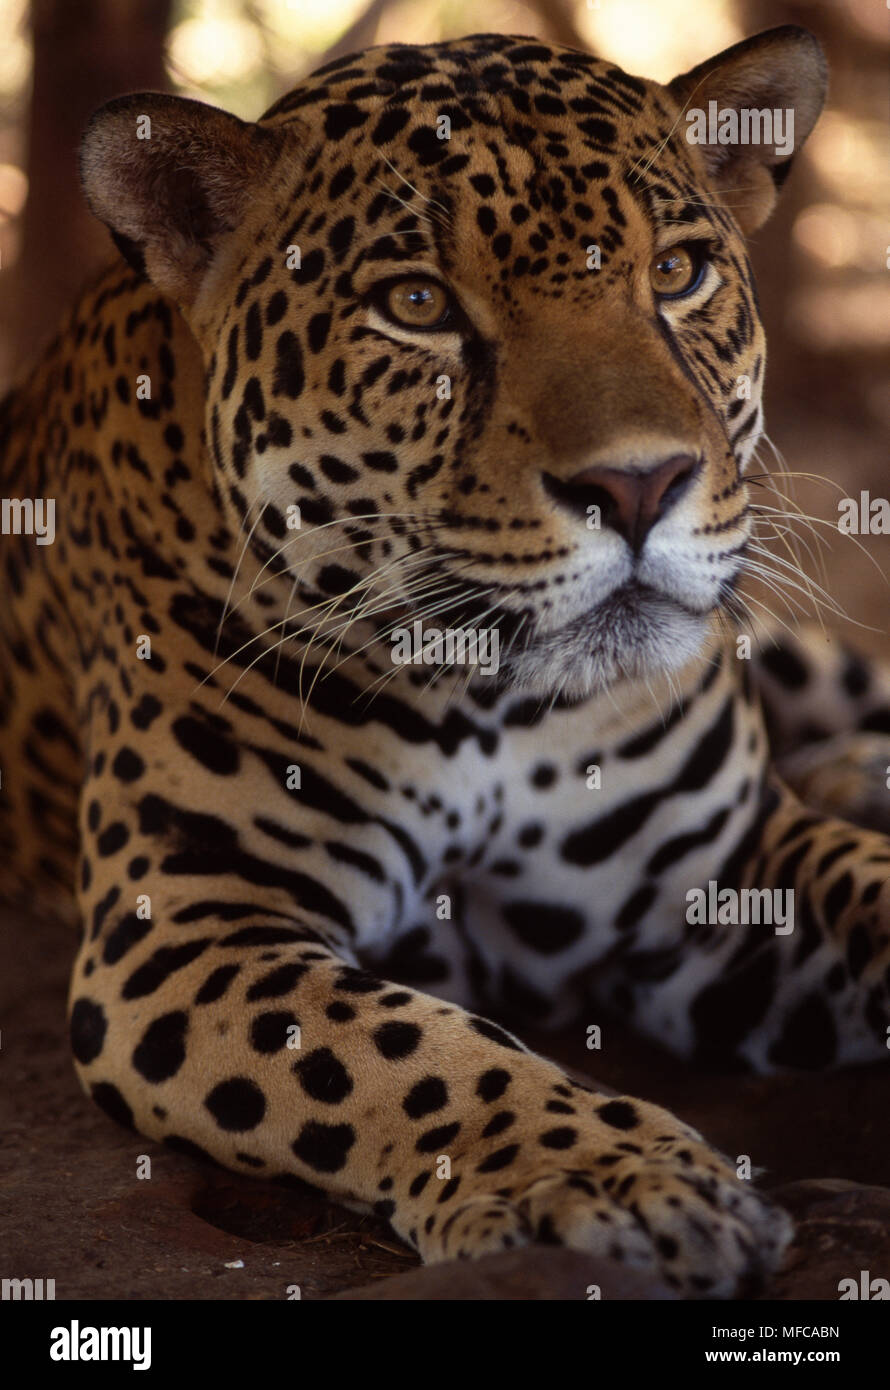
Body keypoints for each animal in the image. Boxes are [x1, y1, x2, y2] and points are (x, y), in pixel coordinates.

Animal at [2, 23, 889, 1299]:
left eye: (677, 273)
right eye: (415, 304)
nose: (637, 486)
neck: (491, 696)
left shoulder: (715, 871)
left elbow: (873, 890)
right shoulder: (186, 924)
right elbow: (412, 1051)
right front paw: (623, 1183)